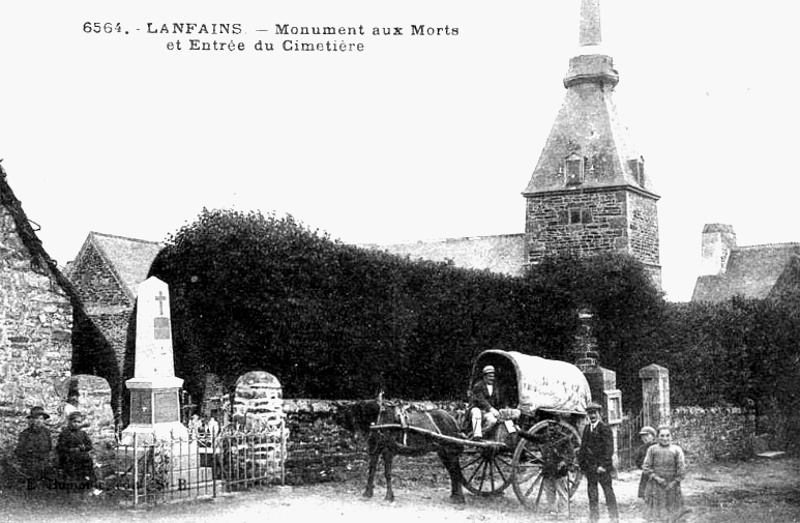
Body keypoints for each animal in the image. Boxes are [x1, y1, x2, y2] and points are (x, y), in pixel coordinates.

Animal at [340, 402, 468, 504]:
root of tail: (452, 419)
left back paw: (459, 498)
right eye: (350, 418)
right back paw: (454, 495)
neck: (379, 421)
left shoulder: (388, 451)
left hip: (450, 450)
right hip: (443, 452)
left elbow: (387, 474)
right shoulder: (375, 451)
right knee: (452, 471)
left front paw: (389, 496)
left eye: (360, 416)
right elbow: (371, 471)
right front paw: (367, 493)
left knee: (455, 470)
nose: (357, 438)